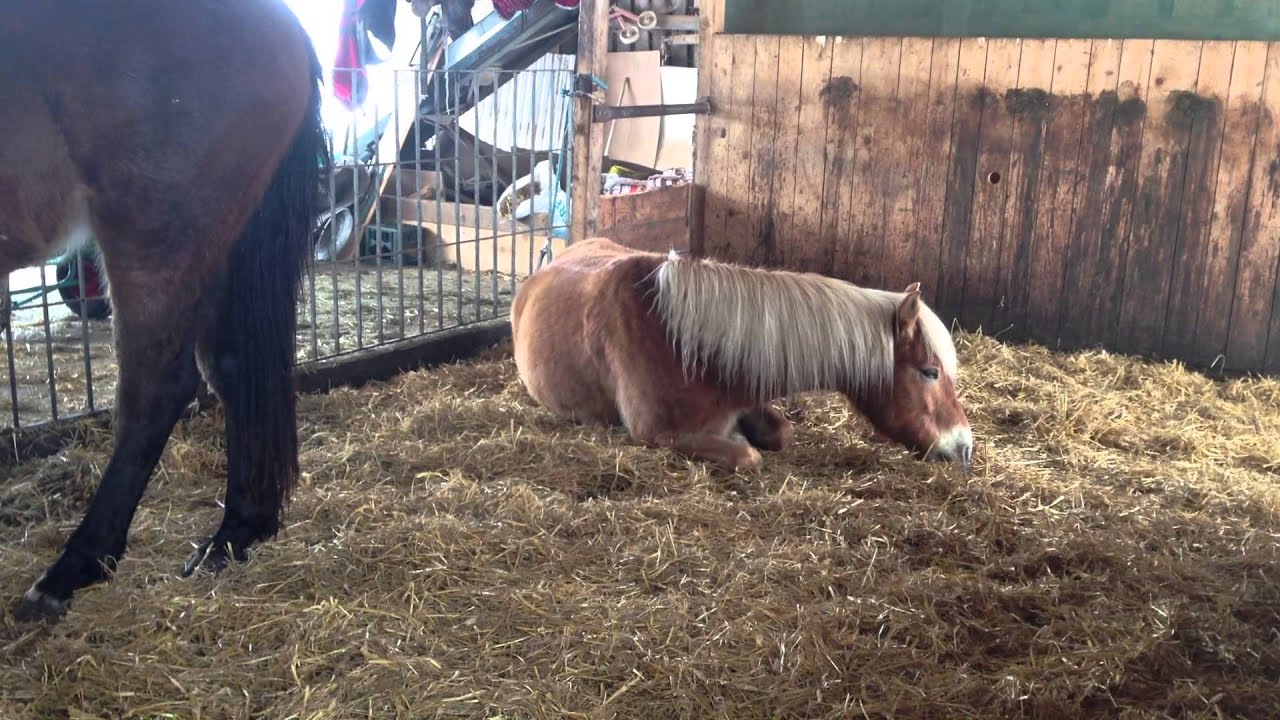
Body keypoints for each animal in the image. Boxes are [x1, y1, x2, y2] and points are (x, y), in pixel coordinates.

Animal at [1, 0, 329, 622]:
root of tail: (286, 26)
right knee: (232, 369)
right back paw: (233, 535)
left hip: (155, 233)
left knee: (154, 391)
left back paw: (72, 569)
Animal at [511, 238, 974, 472]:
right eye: (930, 372)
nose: (965, 446)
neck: (682, 343)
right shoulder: (658, 434)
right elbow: (746, 456)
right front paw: (739, 443)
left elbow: (781, 433)